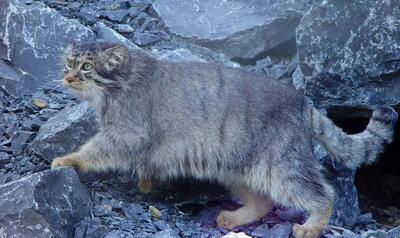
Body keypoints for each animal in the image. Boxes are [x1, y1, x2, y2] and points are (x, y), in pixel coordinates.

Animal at [52, 41, 396, 237]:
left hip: (283, 165)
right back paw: (234, 219)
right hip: (236, 166)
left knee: (321, 194)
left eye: (86, 67)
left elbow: (96, 150)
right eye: (69, 63)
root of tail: (304, 103)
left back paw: (311, 227)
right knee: (262, 200)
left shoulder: (126, 132)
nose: (66, 78)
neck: (121, 82)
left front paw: (69, 160)